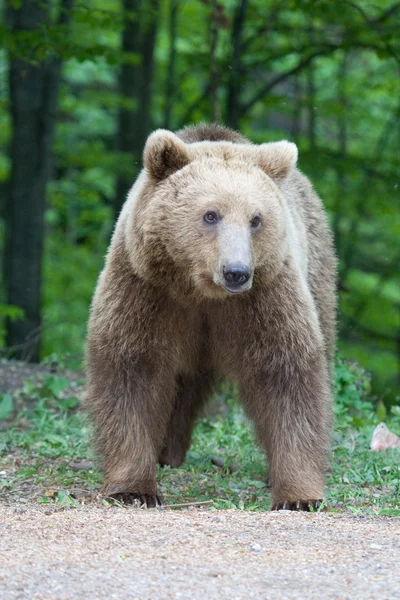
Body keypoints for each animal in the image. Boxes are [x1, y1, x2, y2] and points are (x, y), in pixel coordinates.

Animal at [85, 122, 338, 510]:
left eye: (255, 219)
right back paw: (167, 452)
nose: (236, 272)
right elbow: (132, 371)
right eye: (210, 214)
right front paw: (134, 488)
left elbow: (287, 375)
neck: (201, 291)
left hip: (317, 271)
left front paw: (299, 495)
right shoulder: (145, 289)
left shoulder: (265, 298)